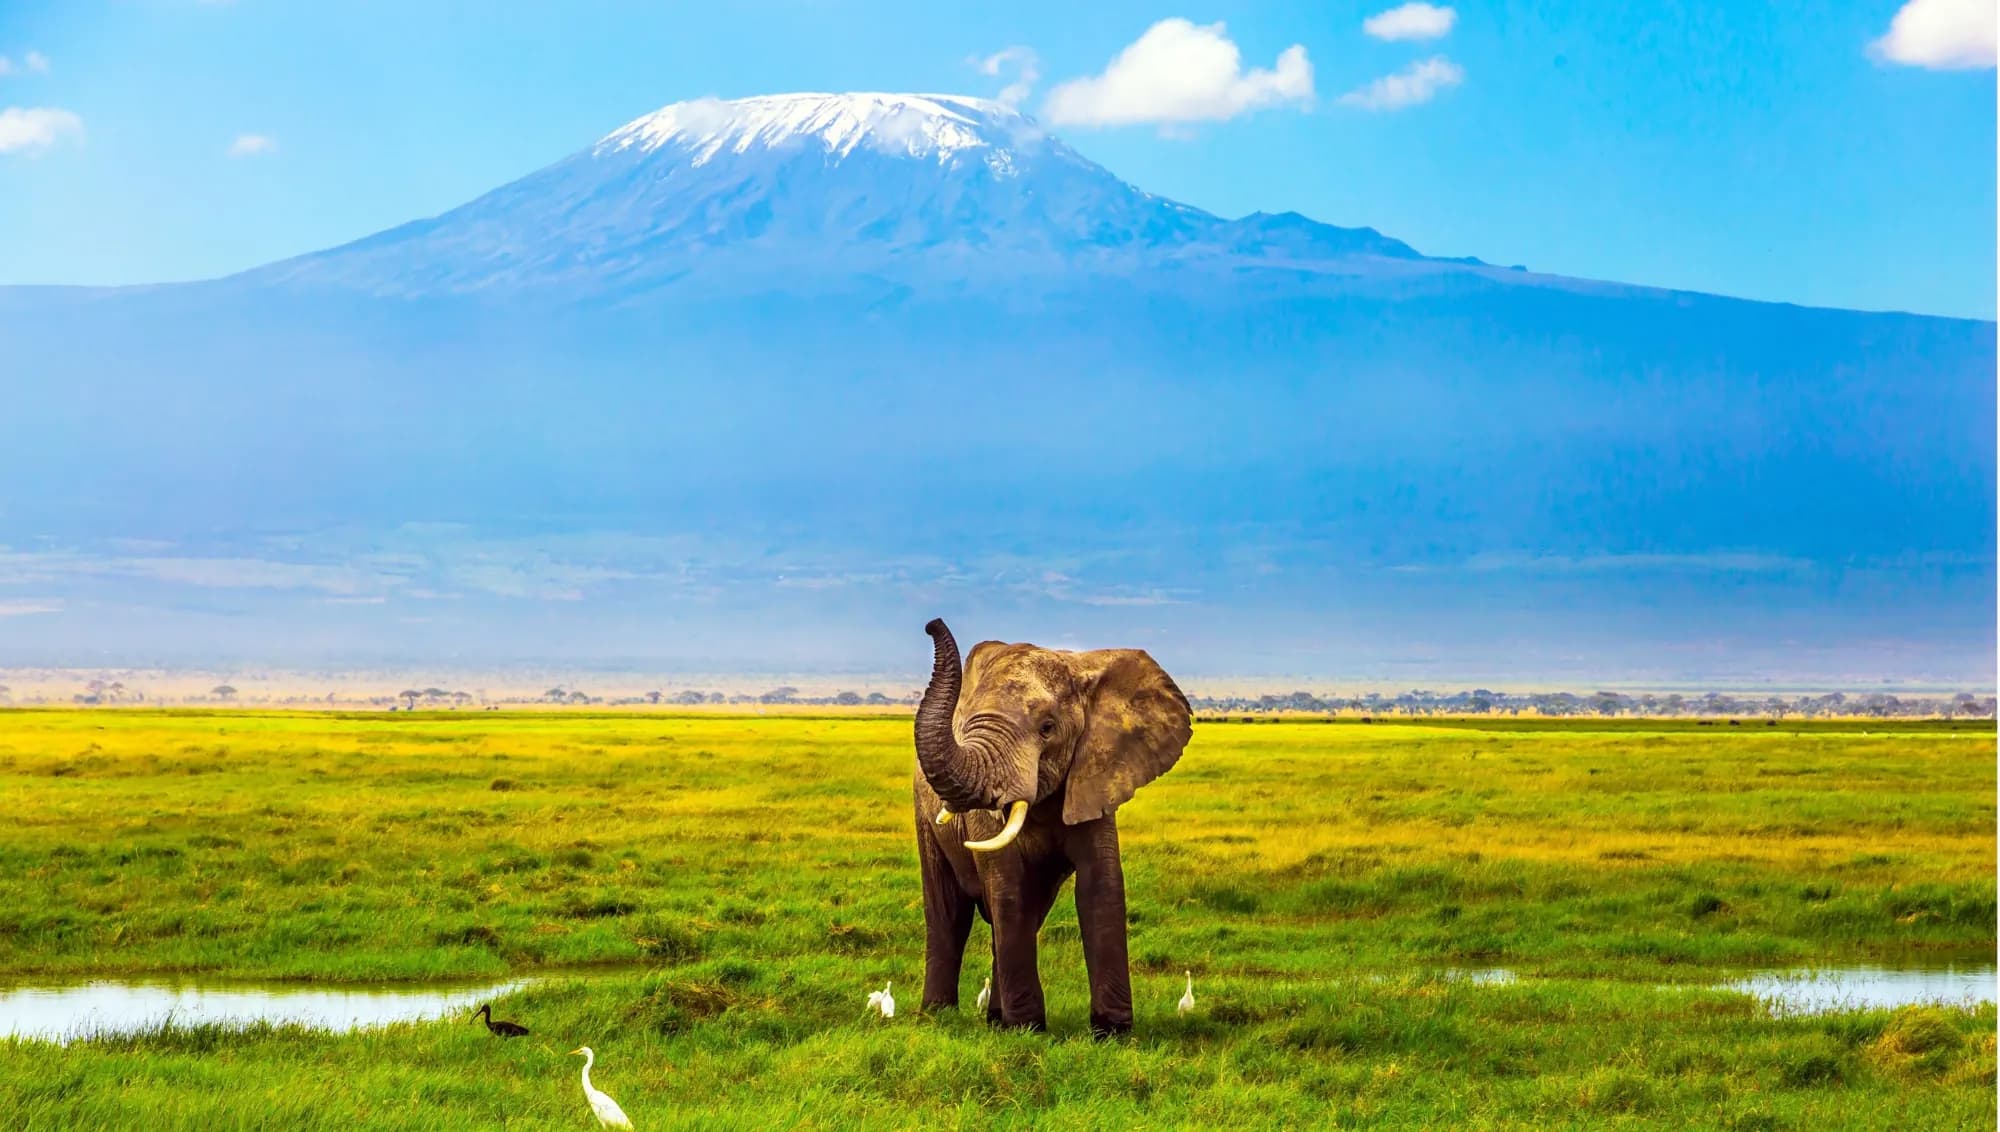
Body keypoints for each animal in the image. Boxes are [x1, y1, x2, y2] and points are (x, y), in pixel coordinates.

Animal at [911, 618, 1192, 1036]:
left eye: (1047, 727)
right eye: (964, 725)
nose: (932, 623)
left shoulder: (1096, 772)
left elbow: (1101, 886)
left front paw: (1112, 1032)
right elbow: (1007, 889)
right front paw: (1028, 1028)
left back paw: (995, 1019)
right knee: (949, 914)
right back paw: (938, 1015)